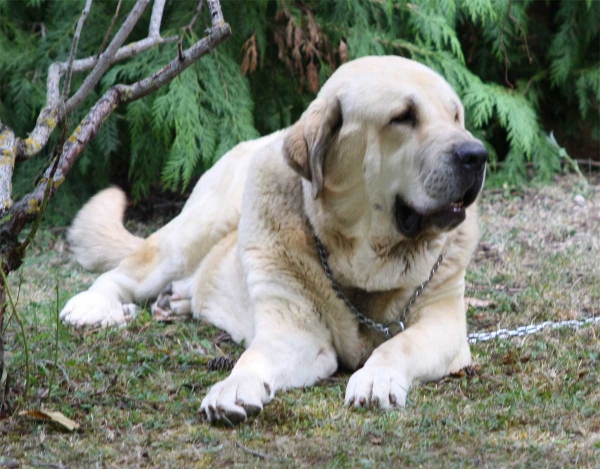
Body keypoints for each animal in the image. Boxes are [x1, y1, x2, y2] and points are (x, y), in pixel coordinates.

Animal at [59, 55, 488, 424]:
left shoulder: (443, 322)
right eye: (403, 117)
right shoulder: (292, 328)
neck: (364, 262)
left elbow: (398, 344)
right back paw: (94, 306)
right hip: (194, 231)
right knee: (130, 268)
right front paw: (233, 388)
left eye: (455, 116)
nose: (476, 154)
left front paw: (375, 376)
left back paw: (177, 299)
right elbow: (254, 358)